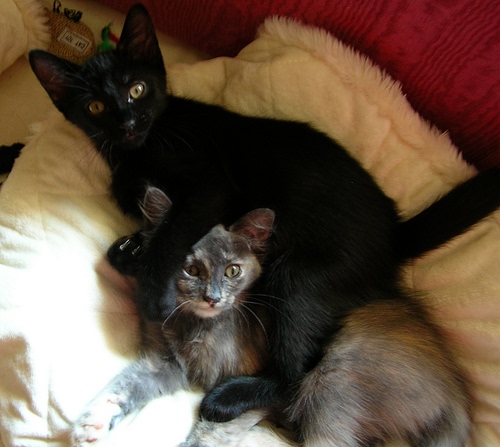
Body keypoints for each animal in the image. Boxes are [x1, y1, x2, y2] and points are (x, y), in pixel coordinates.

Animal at [72, 187, 275, 445]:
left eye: (232, 271)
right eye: (191, 270)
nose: (212, 298)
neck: (200, 328)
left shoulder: (234, 391)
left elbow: (211, 432)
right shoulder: (166, 363)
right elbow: (127, 384)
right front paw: (92, 421)